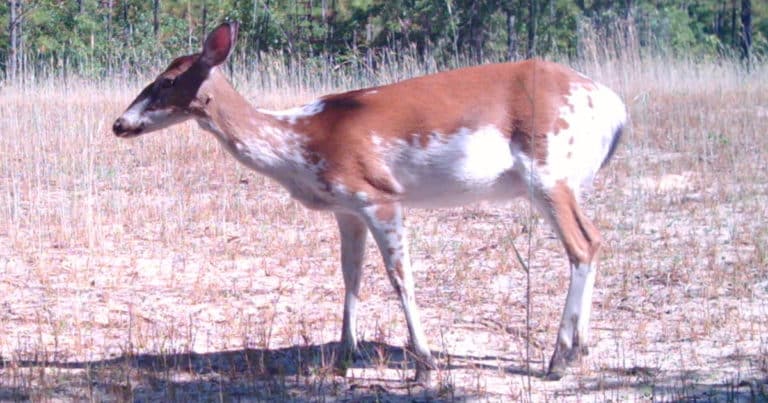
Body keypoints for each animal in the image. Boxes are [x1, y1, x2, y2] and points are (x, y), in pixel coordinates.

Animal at [114, 21, 632, 382]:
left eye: (166, 80)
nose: (119, 123)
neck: (298, 144)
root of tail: (617, 109)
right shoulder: (347, 208)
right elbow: (351, 276)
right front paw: (345, 354)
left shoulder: (380, 195)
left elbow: (400, 278)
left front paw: (424, 363)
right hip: (563, 179)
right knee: (595, 240)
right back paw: (580, 349)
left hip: (550, 169)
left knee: (582, 244)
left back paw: (558, 359)